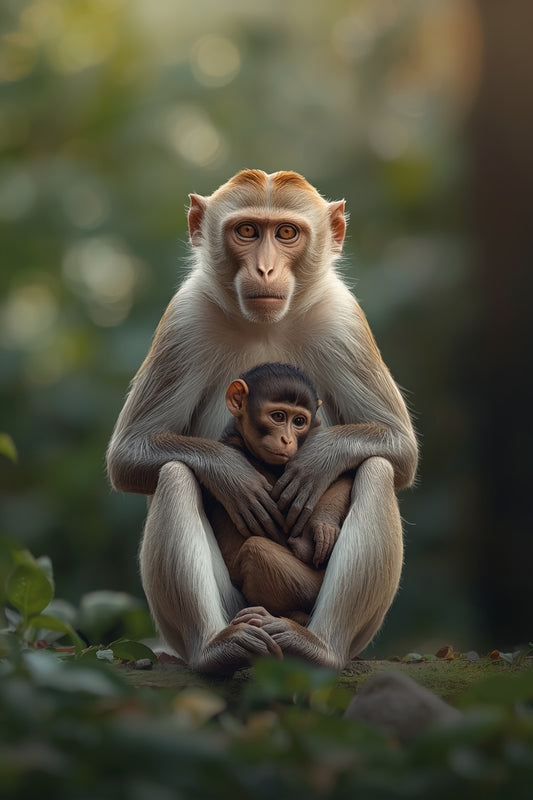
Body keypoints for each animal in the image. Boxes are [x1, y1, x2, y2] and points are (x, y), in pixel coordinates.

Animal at [205, 362, 354, 622]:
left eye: (299, 421)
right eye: (278, 416)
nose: (286, 439)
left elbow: (342, 472)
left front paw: (323, 523)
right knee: (255, 549)